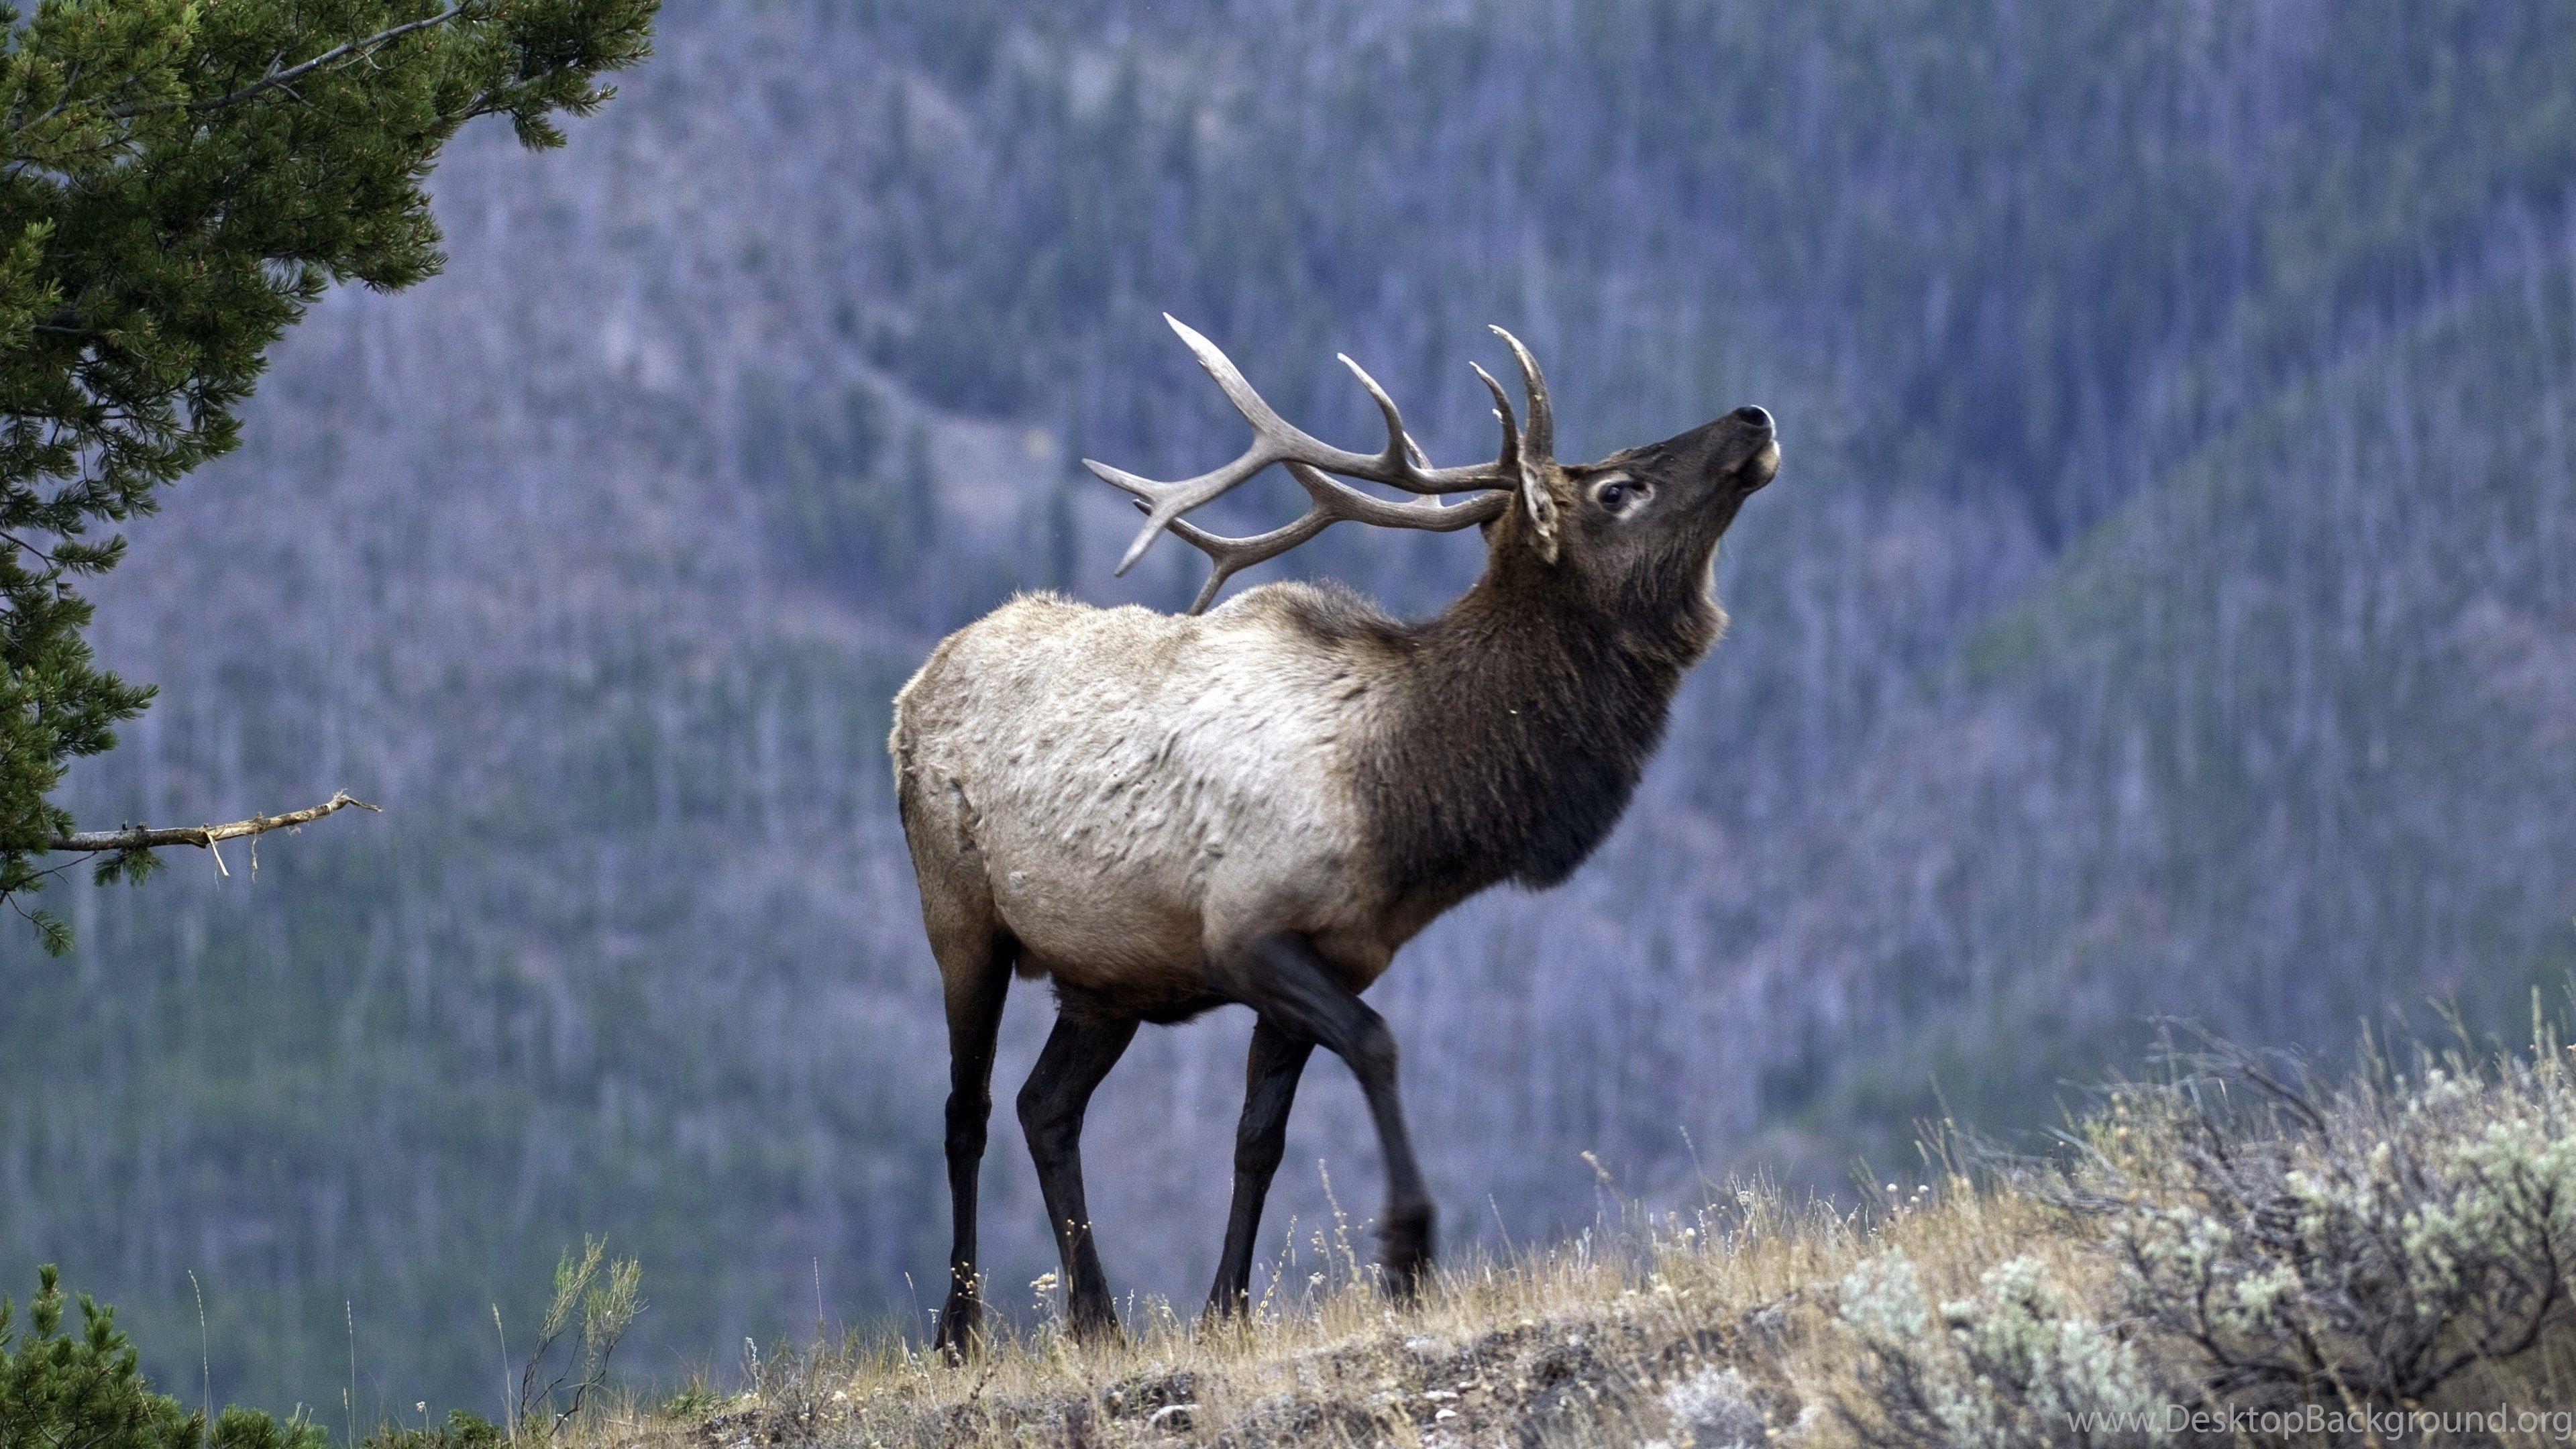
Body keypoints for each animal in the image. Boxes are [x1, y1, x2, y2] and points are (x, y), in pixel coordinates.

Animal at [889, 316, 1779, 1356]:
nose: (1754, 417)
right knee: (969, 1109)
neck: (1406, 803)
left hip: (1105, 977)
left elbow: (1259, 1139)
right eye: (1618, 490)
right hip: (962, 919)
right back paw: (960, 1330)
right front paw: (1407, 1252)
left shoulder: (1332, 958)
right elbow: (1378, 1047)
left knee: (1047, 1108)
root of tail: (918, 684)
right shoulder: (1248, 935)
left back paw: (1097, 1318)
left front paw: (1225, 1310)